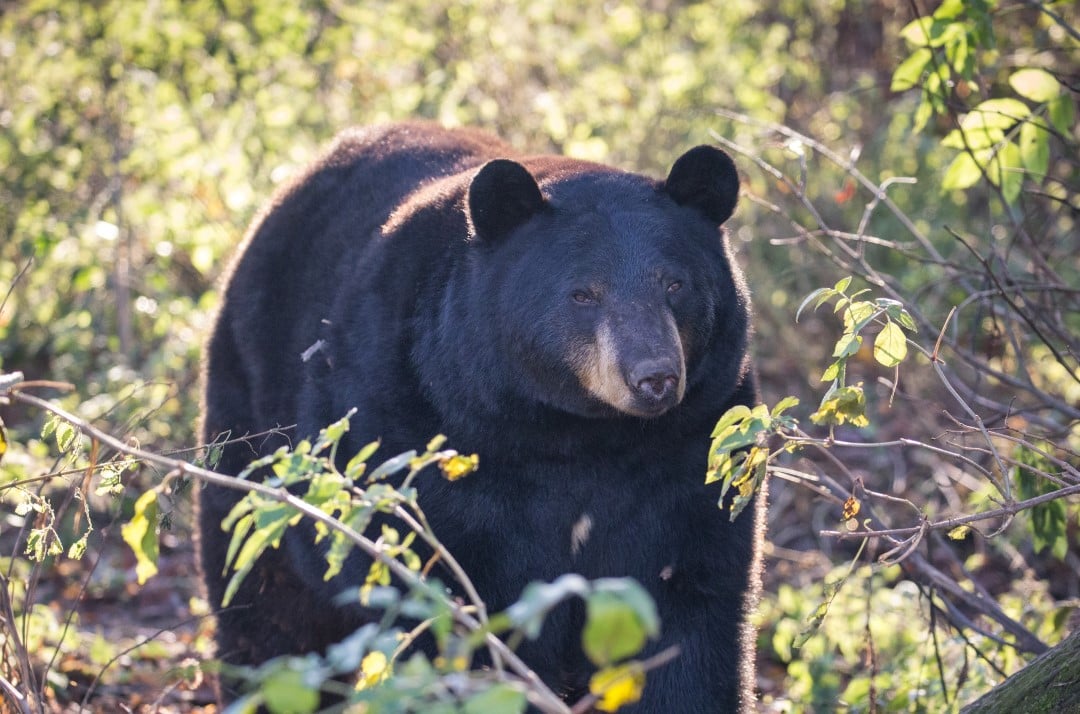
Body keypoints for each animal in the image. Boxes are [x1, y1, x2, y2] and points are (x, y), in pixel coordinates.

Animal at [197, 121, 764, 712]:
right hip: (256, 428)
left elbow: (687, 617)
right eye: (583, 294)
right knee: (267, 607)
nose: (654, 376)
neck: (578, 437)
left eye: (674, 283)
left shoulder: (695, 449)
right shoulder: (422, 435)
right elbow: (455, 618)